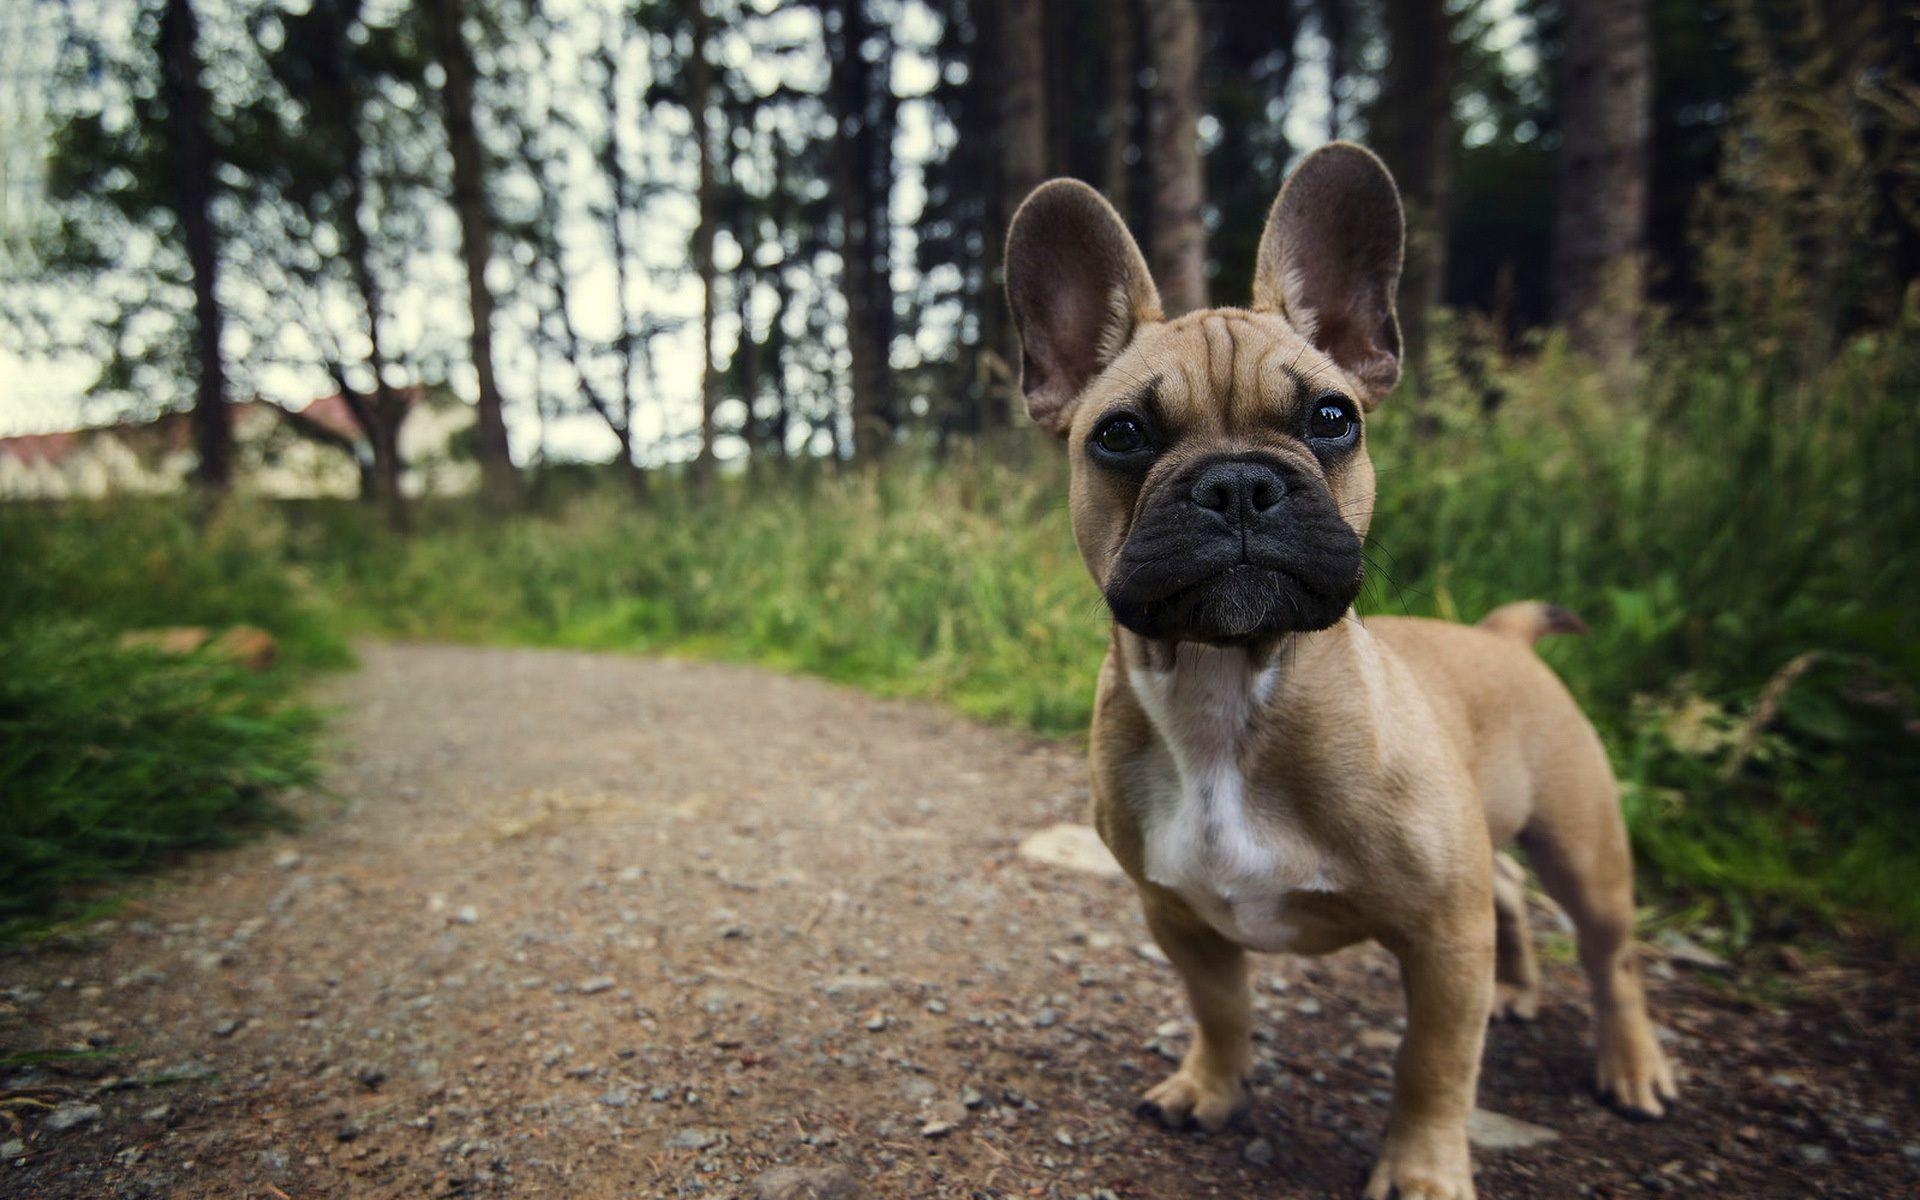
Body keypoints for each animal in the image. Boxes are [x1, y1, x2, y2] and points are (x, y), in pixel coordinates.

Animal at [1013, 144, 1674, 1190]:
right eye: (1120, 435)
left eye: (1333, 418)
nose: (1240, 483)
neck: (1226, 688)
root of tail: (1502, 634)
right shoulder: (1178, 916)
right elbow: (1222, 1010)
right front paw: (1210, 1088)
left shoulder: (1442, 934)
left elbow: (1433, 1063)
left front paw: (1423, 1171)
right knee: (1510, 893)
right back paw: (1520, 991)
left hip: (1584, 846)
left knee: (1612, 957)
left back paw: (1633, 1064)